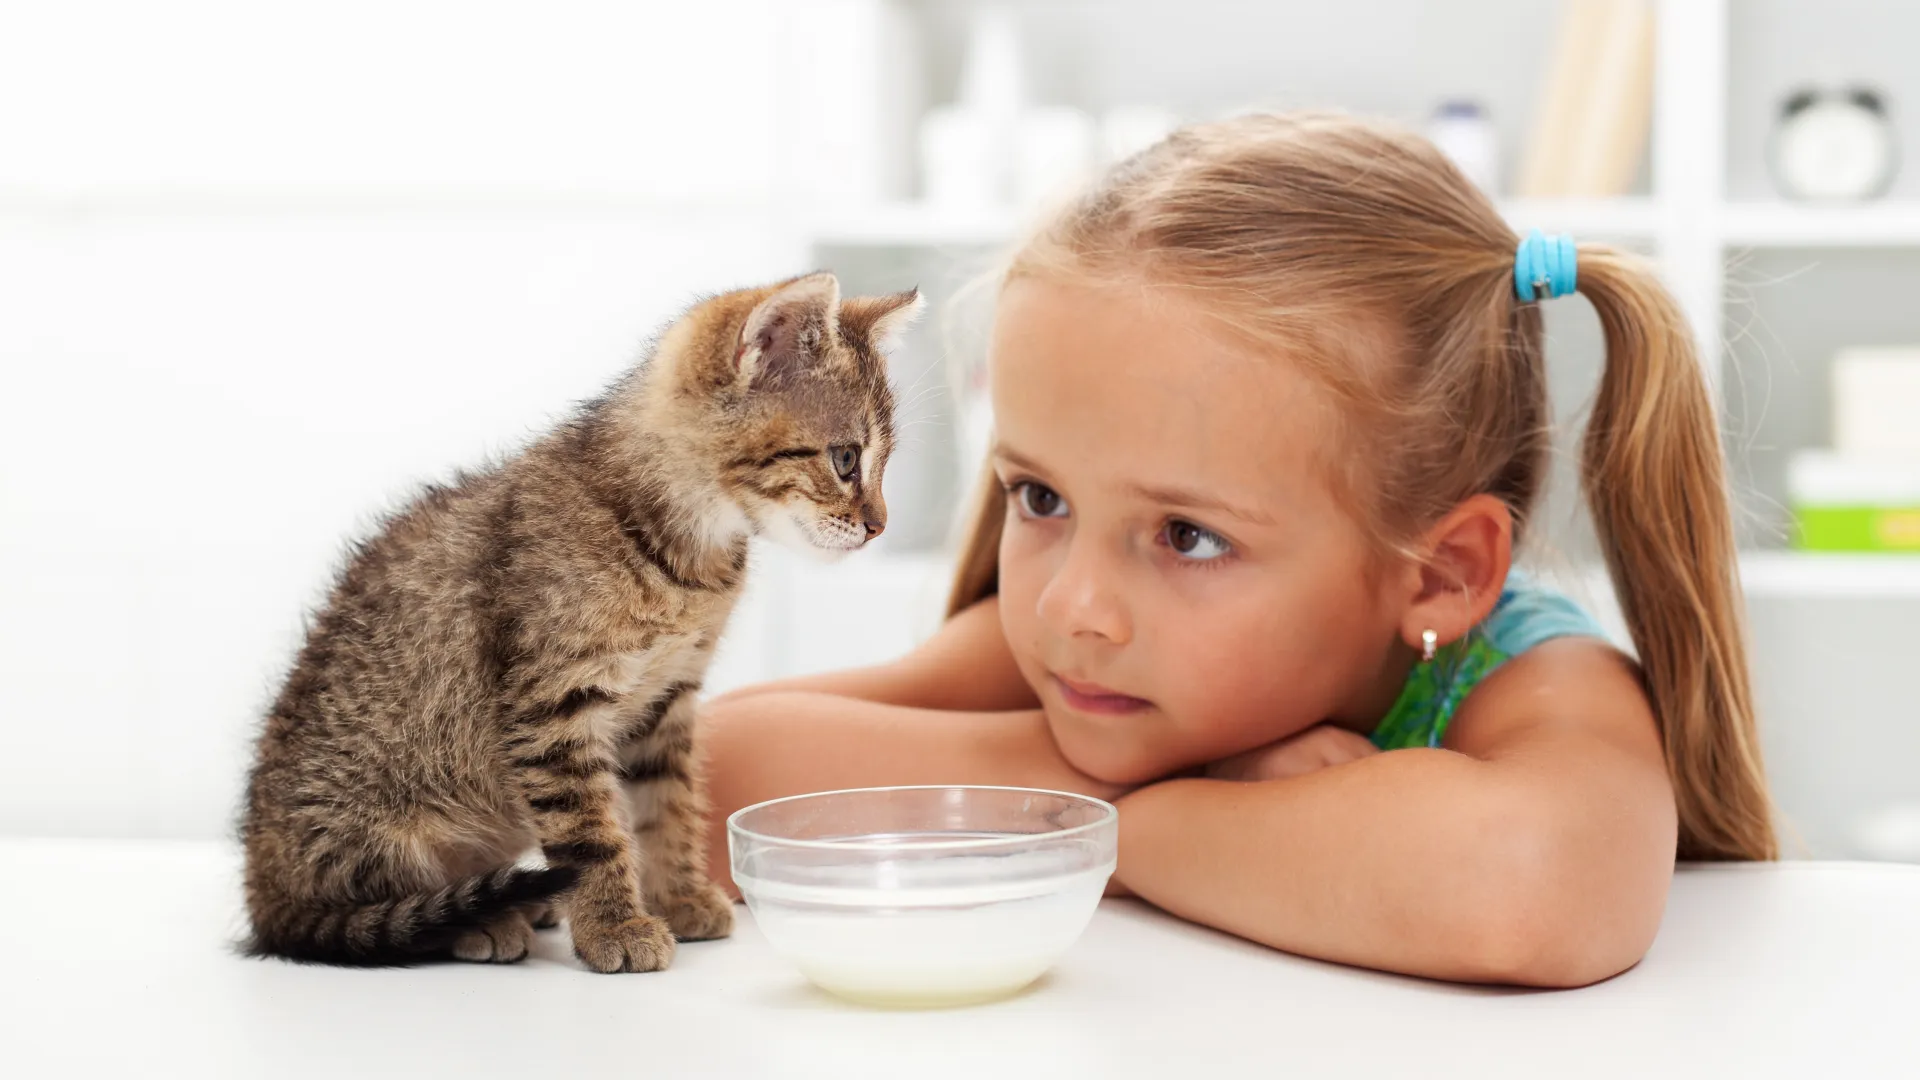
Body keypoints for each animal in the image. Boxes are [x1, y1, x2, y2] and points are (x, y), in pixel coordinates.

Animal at [241, 272, 921, 972]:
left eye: (881, 462)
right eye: (846, 459)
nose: (879, 525)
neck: (688, 554)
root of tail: (264, 888)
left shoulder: (668, 697)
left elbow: (667, 806)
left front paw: (676, 896)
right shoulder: (553, 707)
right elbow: (590, 833)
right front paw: (614, 925)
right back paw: (482, 921)